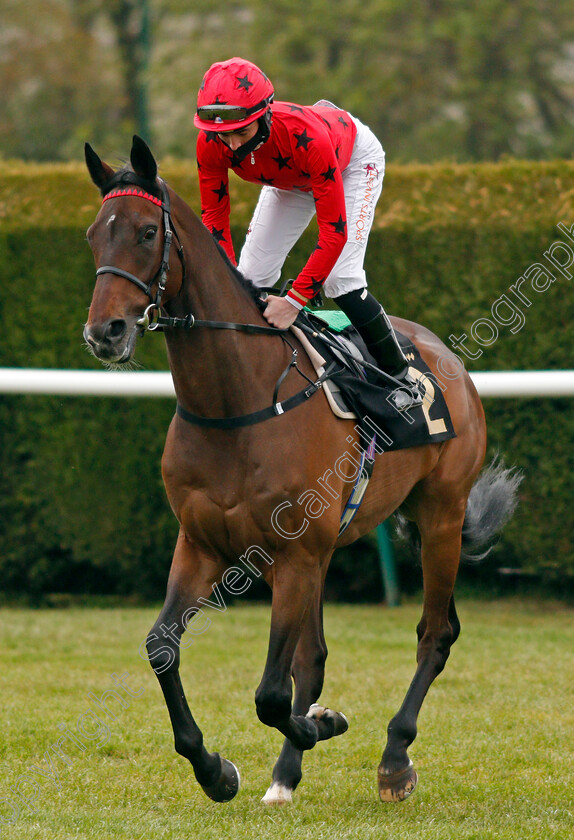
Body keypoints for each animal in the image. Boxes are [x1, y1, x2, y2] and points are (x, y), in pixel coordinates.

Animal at [84, 135, 520, 804]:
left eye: (145, 232)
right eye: (92, 236)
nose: (103, 332)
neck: (237, 404)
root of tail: (447, 361)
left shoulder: (294, 554)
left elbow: (270, 692)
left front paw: (321, 725)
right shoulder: (204, 543)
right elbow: (163, 647)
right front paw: (216, 769)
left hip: (440, 516)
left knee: (434, 633)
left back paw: (394, 759)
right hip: (329, 547)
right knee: (314, 657)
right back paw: (287, 773)